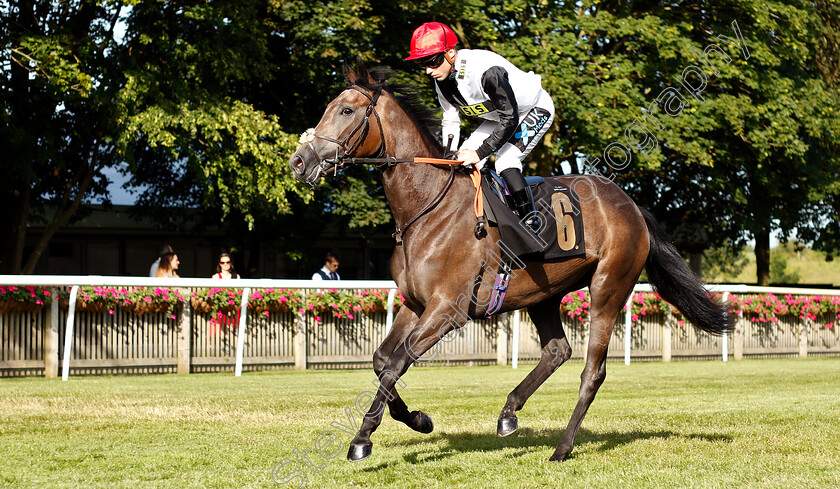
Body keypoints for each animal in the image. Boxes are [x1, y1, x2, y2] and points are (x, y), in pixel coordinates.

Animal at [288, 60, 728, 462]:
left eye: (347, 110)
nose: (299, 161)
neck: (429, 206)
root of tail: (631, 205)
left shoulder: (448, 311)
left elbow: (396, 364)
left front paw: (362, 439)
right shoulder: (415, 304)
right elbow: (382, 361)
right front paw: (418, 419)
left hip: (609, 286)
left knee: (592, 370)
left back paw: (562, 447)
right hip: (545, 293)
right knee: (557, 351)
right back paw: (509, 414)